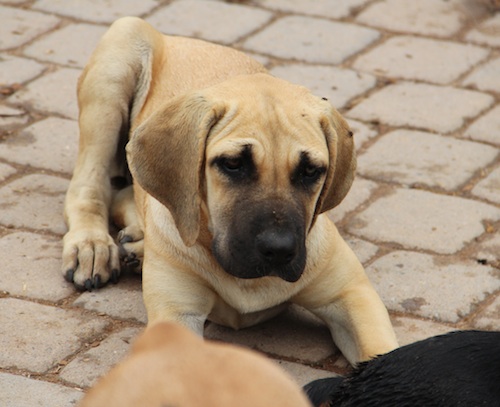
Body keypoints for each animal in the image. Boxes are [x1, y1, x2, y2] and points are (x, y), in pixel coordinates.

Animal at [63, 17, 398, 364]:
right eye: (233, 164)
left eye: (310, 171)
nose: (279, 250)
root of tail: (181, 39)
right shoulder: (177, 316)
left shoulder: (353, 296)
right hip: (118, 56)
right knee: (89, 188)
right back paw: (92, 245)